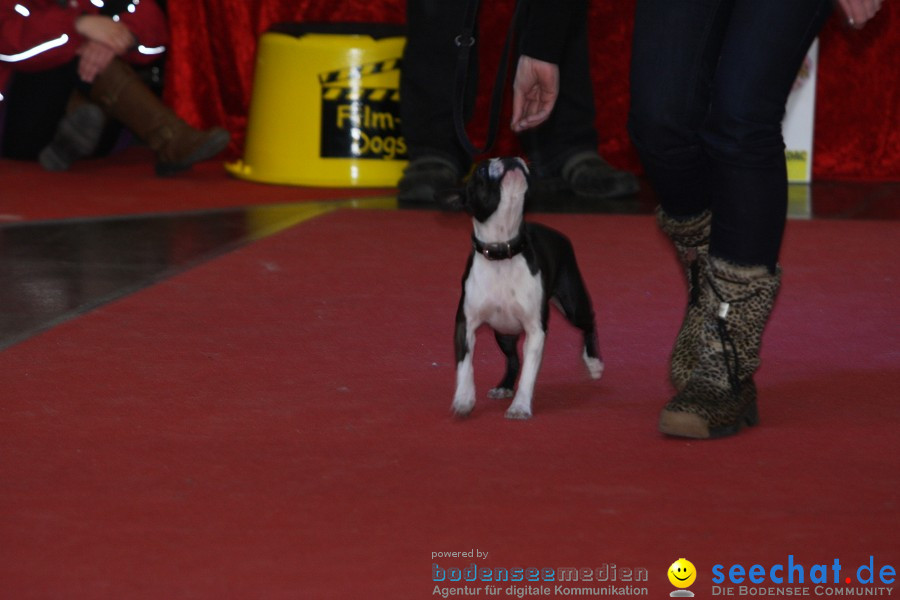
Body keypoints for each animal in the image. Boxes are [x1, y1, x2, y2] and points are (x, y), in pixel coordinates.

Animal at [450, 157, 604, 420]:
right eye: (481, 170)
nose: (509, 158)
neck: (502, 251)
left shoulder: (535, 330)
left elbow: (529, 375)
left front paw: (520, 406)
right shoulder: (465, 325)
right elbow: (465, 365)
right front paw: (464, 399)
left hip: (573, 304)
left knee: (589, 322)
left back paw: (593, 362)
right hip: (503, 333)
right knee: (513, 359)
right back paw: (504, 386)